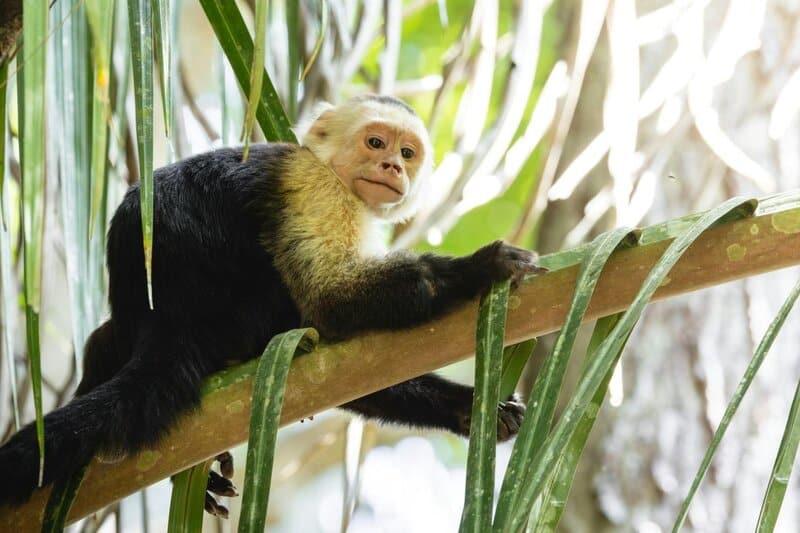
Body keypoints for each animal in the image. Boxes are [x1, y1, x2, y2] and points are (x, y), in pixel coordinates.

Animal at [0, 95, 544, 514]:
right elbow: (331, 302)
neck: (328, 168)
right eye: (375, 143)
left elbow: (360, 369)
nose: (392, 166)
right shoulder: (316, 189)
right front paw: (480, 267)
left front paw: (468, 408)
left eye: (407, 153)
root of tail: (169, 311)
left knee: (107, 342)